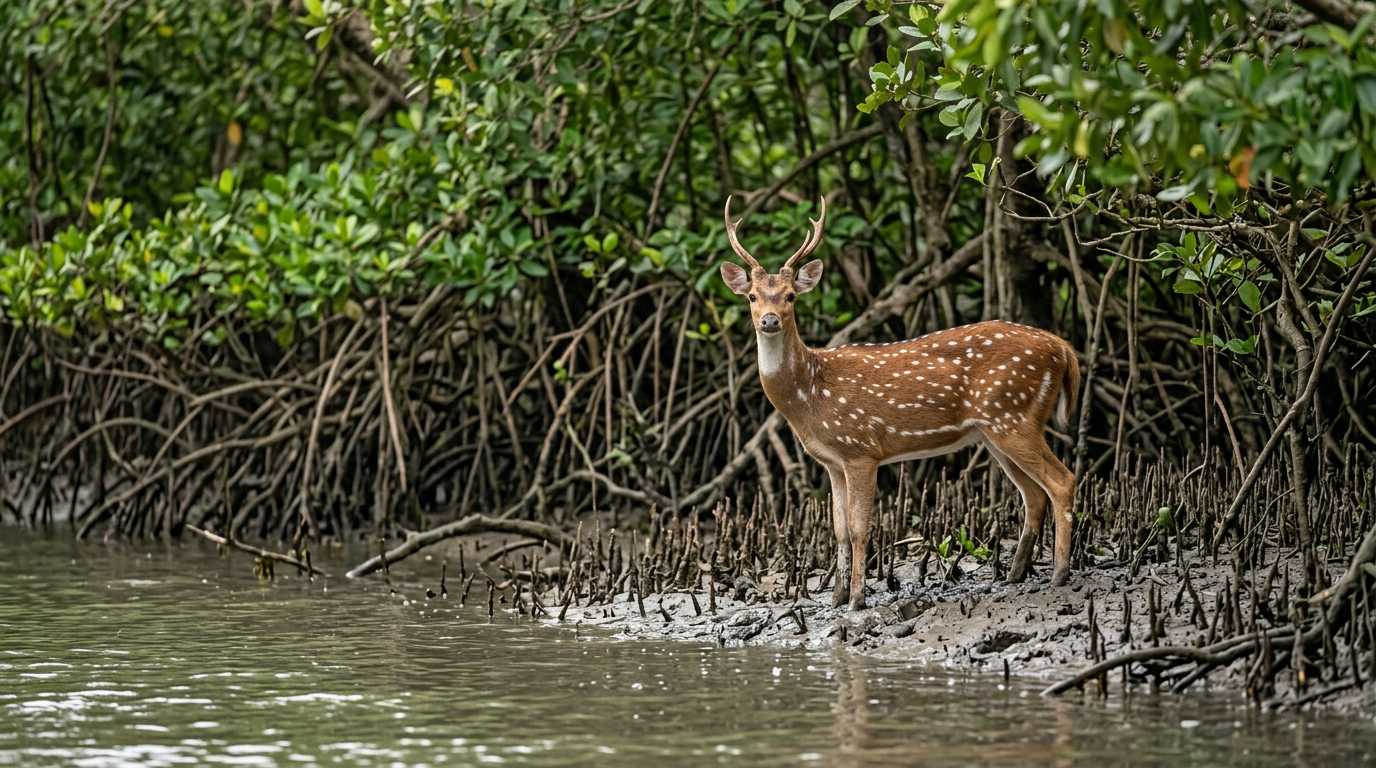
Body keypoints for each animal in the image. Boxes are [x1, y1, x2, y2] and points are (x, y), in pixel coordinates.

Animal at [719, 196, 1081, 611]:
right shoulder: (832, 461)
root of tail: (1062, 348)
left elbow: (859, 528)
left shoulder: (861, 449)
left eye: (791, 295)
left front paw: (857, 598)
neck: (810, 395)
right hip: (998, 431)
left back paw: (1059, 573)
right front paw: (836, 598)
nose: (769, 320)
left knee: (1062, 481)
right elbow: (838, 529)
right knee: (1034, 495)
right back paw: (1016, 574)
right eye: (752, 296)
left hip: (1014, 418)